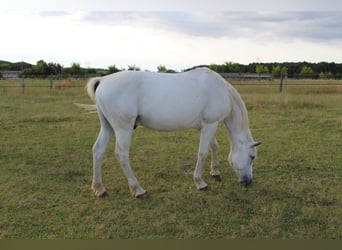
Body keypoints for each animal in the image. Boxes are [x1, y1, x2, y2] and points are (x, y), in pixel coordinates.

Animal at [79, 67, 260, 198]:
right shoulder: (210, 125)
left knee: (98, 151)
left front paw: (215, 172)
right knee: (121, 155)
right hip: (123, 129)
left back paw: (99, 188)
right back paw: (138, 189)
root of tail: (103, 80)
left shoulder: (206, 126)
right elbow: (202, 153)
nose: (249, 182)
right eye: (252, 157)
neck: (220, 90)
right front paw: (200, 182)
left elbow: (214, 147)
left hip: (108, 127)